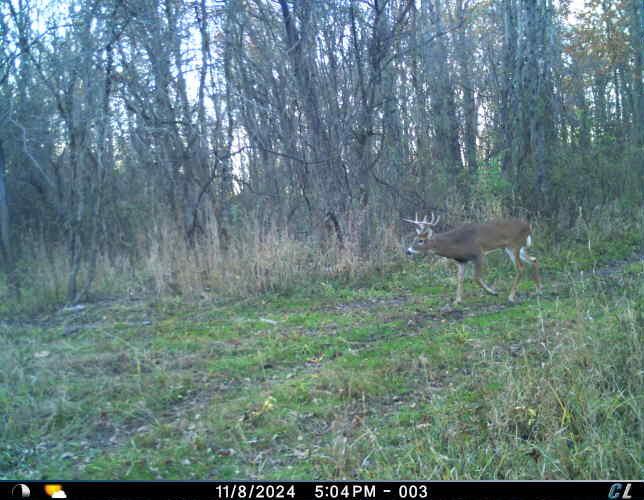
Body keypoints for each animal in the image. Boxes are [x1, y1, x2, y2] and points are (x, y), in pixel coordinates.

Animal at [403, 213, 541, 305]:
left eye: (420, 240)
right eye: (414, 239)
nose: (408, 251)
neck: (456, 244)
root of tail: (528, 227)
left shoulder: (479, 254)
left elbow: (476, 278)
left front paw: (493, 292)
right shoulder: (461, 261)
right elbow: (460, 278)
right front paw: (457, 300)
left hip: (513, 246)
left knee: (520, 268)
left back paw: (511, 297)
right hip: (518, 248)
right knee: (534, 259)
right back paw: (538, 290)